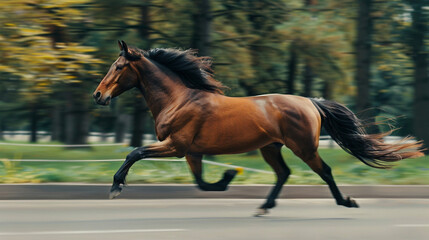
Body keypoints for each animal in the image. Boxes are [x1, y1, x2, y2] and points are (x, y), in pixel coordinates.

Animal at [92, 40, 422, 216]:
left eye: (118, 67)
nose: (98, 95)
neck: (179, 99)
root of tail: (311, 102)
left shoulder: (176, 146)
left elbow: (135, 152)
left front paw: (115, 187)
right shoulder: (191, 152)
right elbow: (201, 183)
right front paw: (227, 178)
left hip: (303, 147)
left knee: (324, 171)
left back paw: (346, 201)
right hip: (270, 148)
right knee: (283, 174)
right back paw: (264, 206)